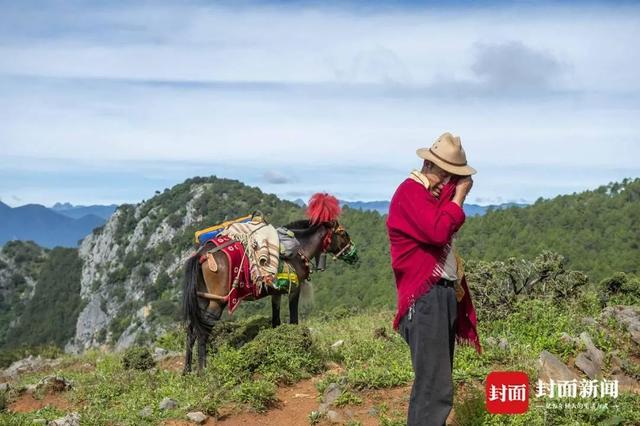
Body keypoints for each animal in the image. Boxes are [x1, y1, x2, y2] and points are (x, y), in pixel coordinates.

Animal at [182, 195, 358, 374]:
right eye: (343, 233)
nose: (354, 255)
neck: (298, 247)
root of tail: (203, 255)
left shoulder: (276, 293)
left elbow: (276, 320)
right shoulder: (294, 289)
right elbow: (293, 319)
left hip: (202, 298)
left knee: (191, 330)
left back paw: (186, 371)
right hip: (218, 301)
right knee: (203, 330)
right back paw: (202, 370)